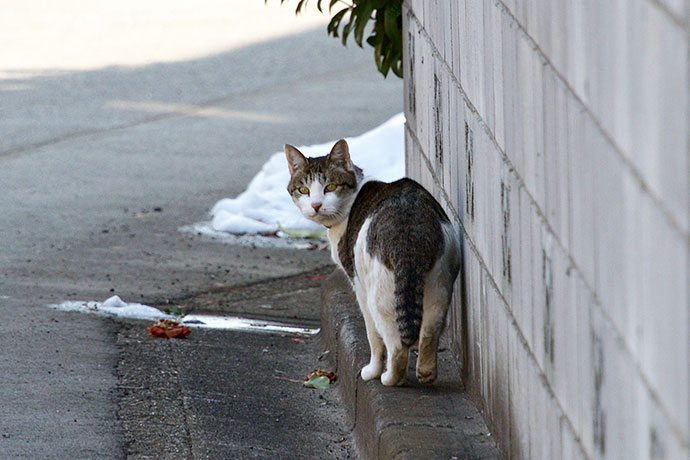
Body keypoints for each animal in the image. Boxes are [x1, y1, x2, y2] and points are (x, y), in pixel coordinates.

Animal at [282, 138, 460, 386]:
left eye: (330, 187)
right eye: (304, 190)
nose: (316, 205)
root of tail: (411, 230)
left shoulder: (359, 285)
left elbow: (373, 336)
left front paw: (372, 370)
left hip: (380, 295)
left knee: (396, 345)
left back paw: (388, 377)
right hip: (438, 285)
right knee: (428, 332)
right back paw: (426, 373)